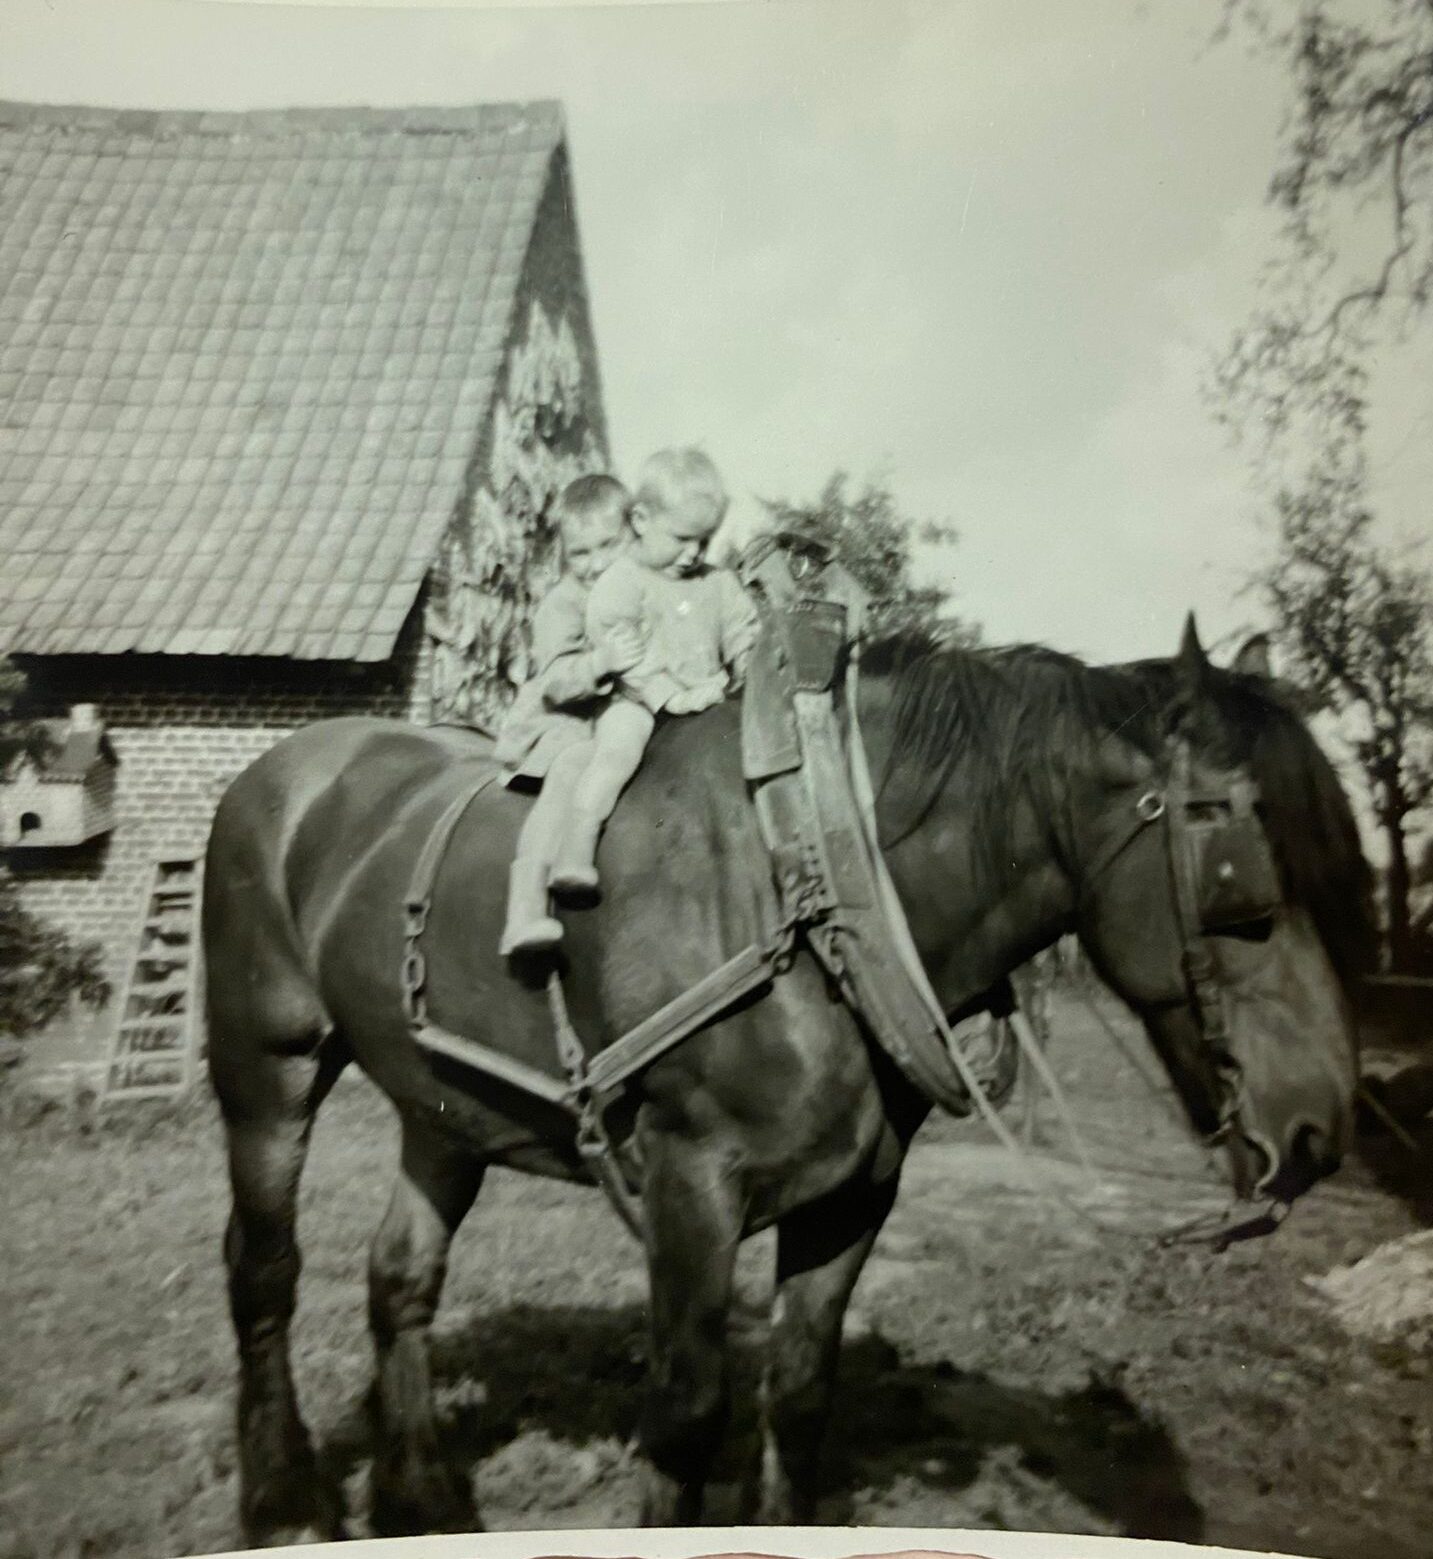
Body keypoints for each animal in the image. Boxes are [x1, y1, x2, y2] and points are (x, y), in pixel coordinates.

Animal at [198, 614, 1365, 1540]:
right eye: (1245, 888)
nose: (1320, 1129)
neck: (815, 899)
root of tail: (289, 770)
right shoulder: (689, 1185)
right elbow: (684, 1413)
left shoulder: (851, 1195)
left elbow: (799, 1395)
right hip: (267, 1065)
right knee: (264, 1271)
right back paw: (284, 1501)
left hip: (444, 1104)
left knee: (400, 1277)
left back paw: (422, 1500)